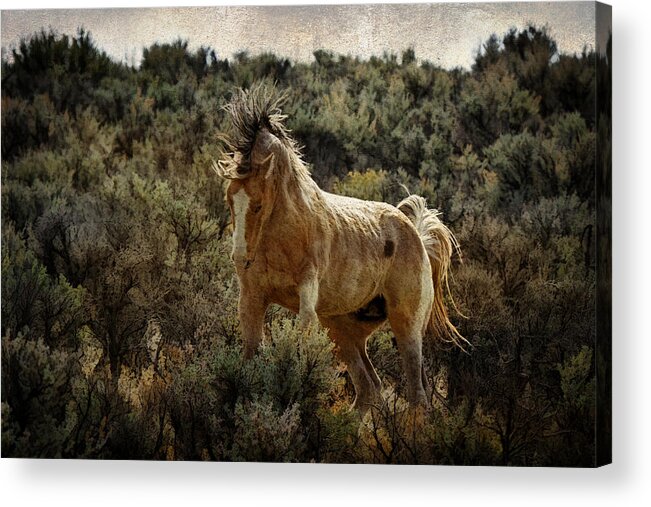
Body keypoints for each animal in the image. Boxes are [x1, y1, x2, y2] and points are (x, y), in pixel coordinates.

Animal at [213, 86, 464, 412]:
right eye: (230, 201)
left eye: (257, 204)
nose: (240, 258)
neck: (281, 241)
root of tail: (416, 236)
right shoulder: (252, 298)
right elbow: (250, 357)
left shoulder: (307, 298)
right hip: (343, 330)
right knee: (370, 388)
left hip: (406, 326)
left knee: (416, 395)